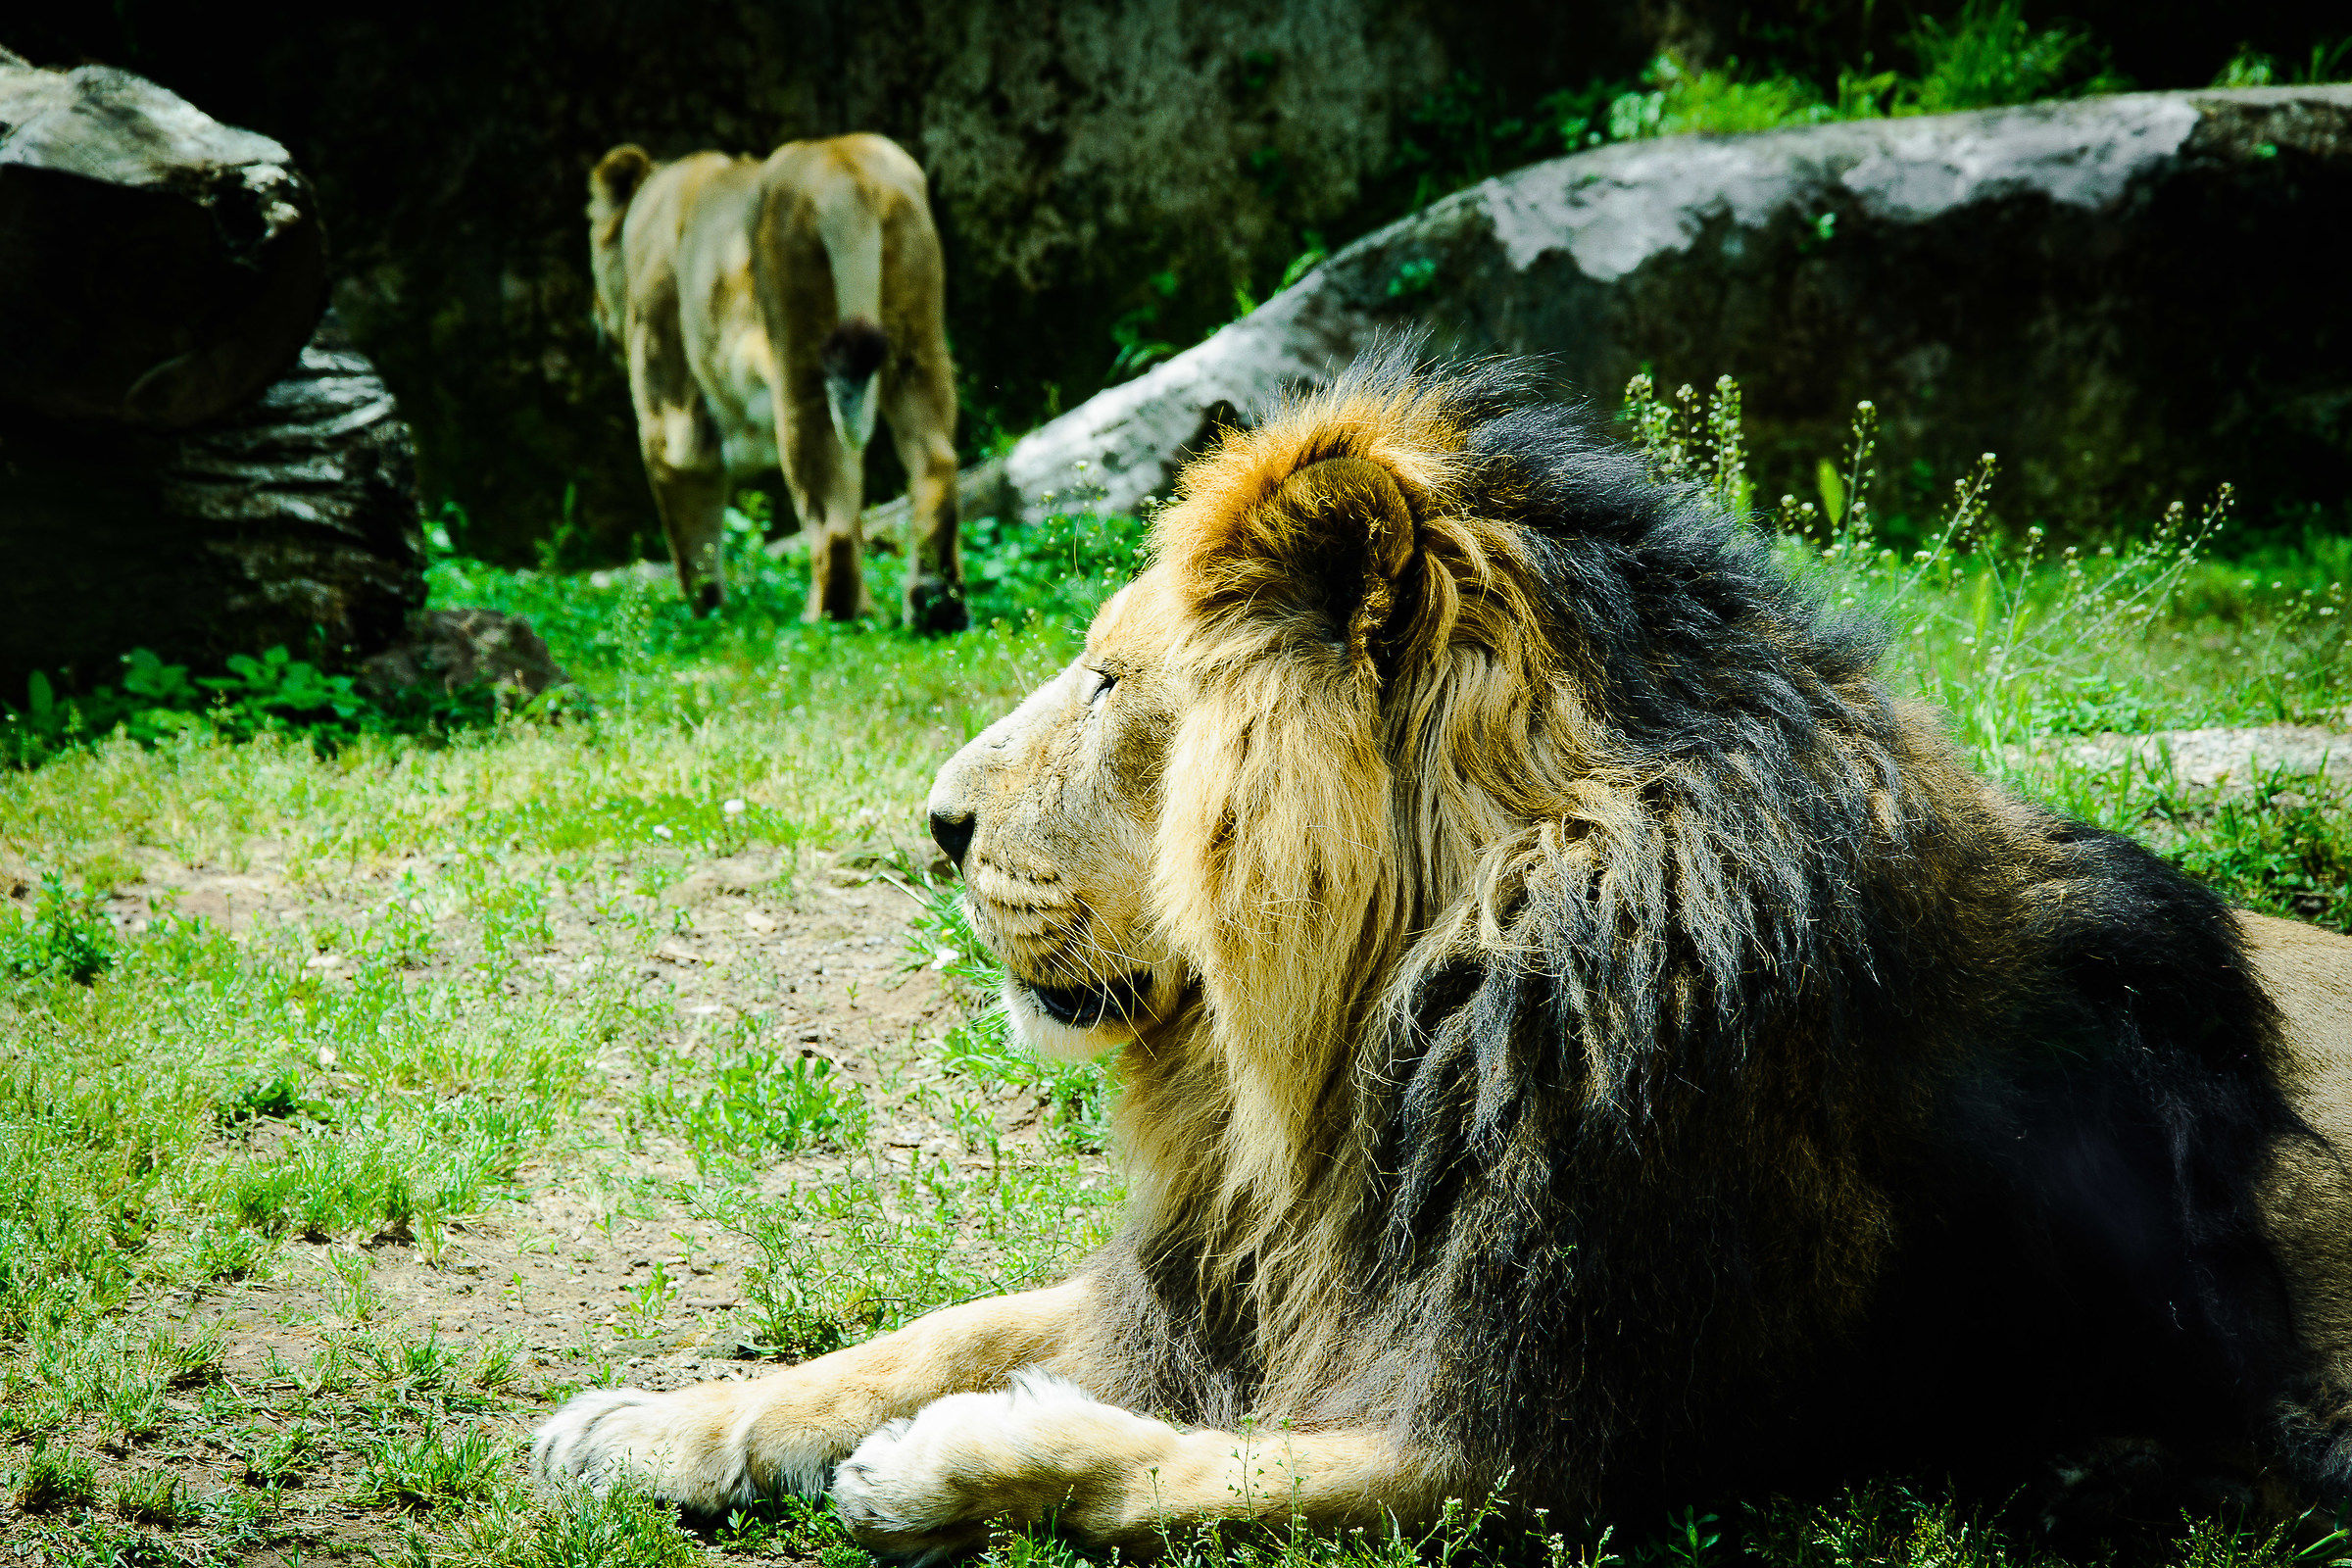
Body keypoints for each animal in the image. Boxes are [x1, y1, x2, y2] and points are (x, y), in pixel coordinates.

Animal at [535, 351, 2352, 1557]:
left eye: (1114, 687)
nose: (935, 824)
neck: (1376, 1038)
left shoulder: (1540, 1437)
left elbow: (1172, 1468)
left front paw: (930, 1470)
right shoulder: (1250, 1271)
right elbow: (938, 1329)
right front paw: (649, 1425)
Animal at [587, 133, 965, 631]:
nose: (594, 311)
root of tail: (846, 169)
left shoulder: (668, 412)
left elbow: (692, 533)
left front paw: (707, 613)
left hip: (800, 361)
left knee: (834, 523)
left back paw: (827, 616)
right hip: (917, 344)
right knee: (934, 465)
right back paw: (936, 606)